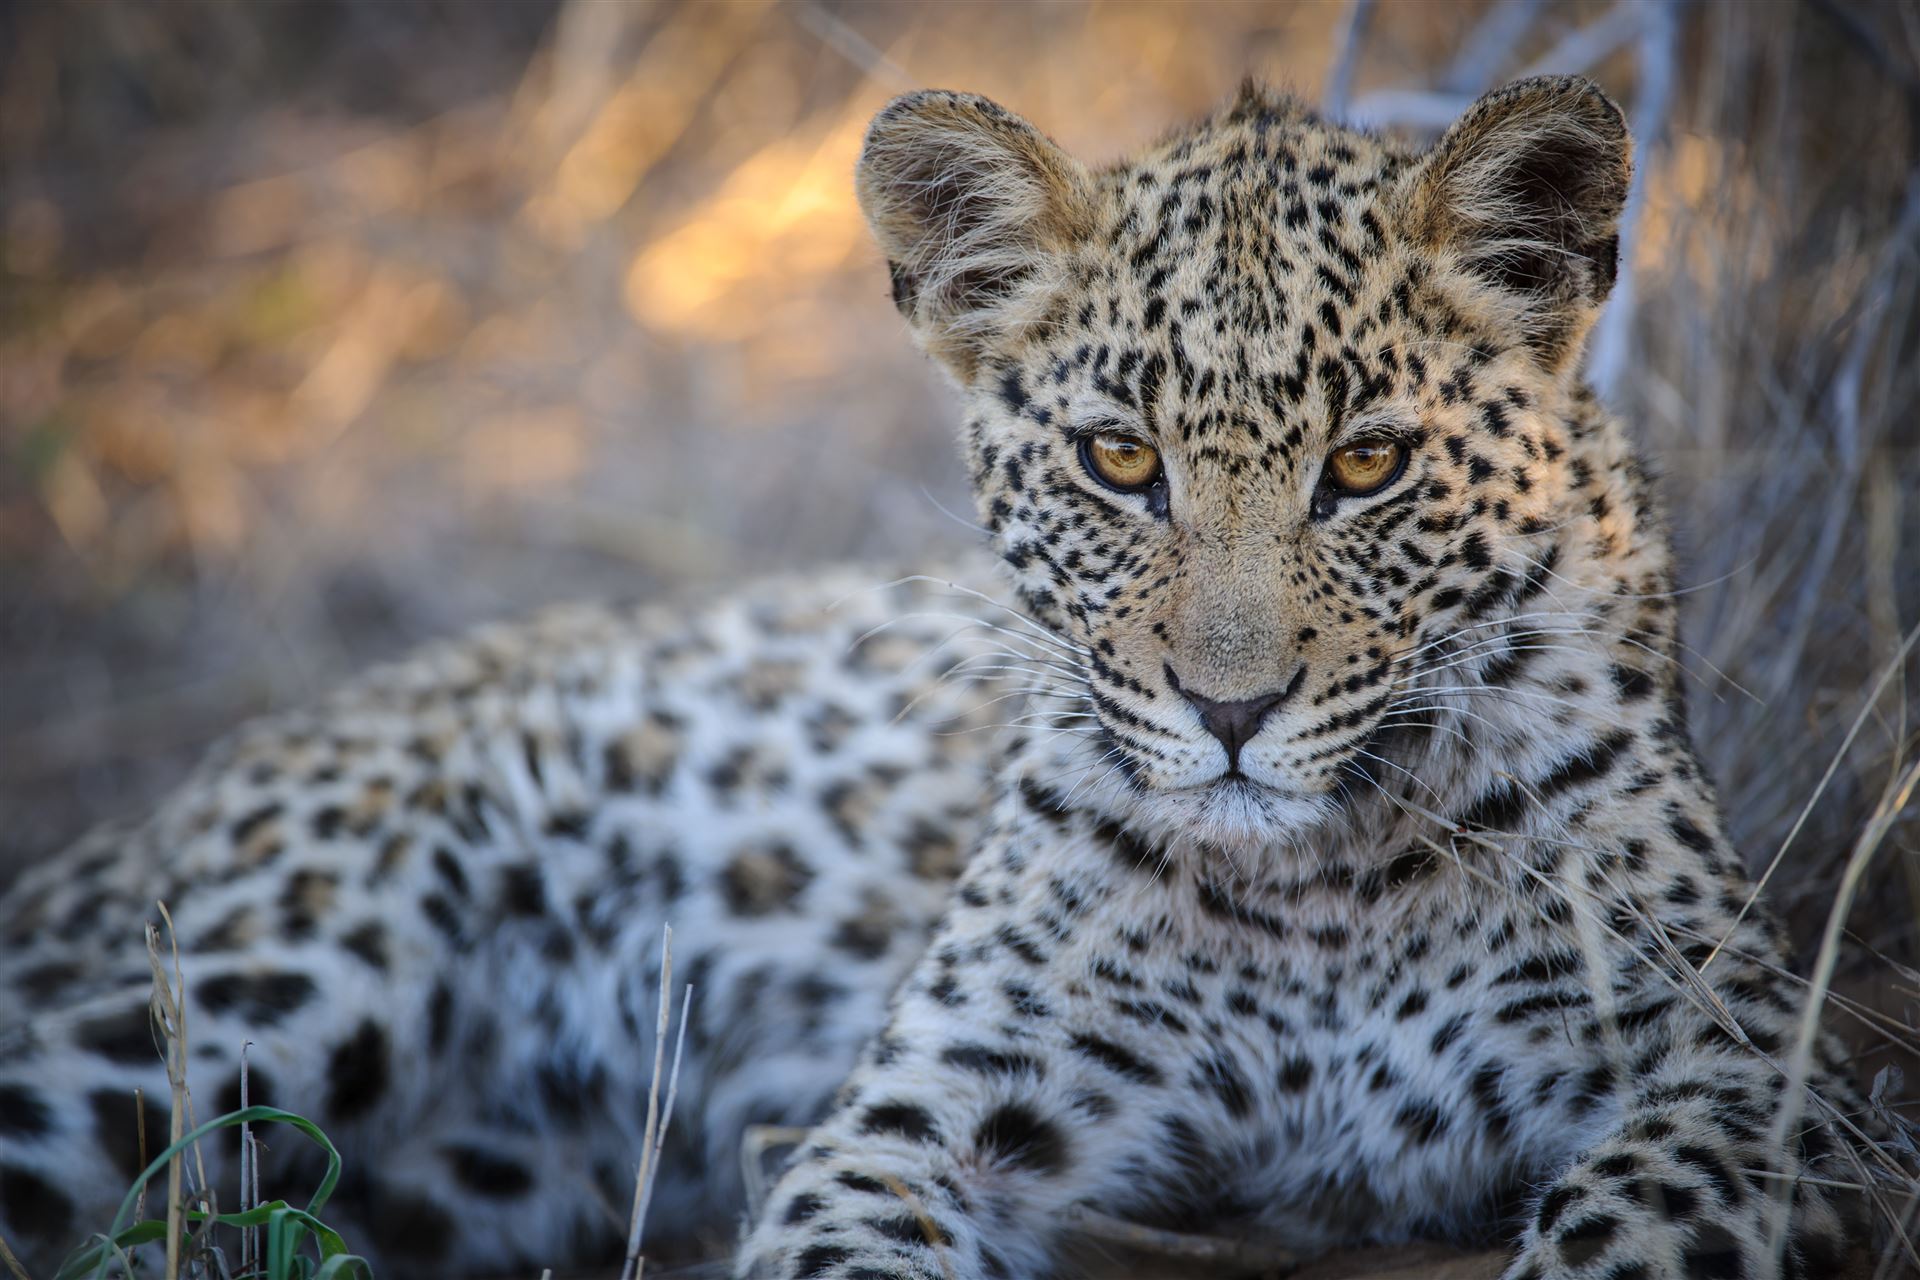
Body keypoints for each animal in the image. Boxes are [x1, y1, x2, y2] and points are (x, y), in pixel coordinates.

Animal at [0, 75, 1876, 1280]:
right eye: (1119, 462)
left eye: (1367, 467)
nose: (1233, 715)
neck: (1322, 886)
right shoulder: (918, 1114)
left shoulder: (1755, 1089)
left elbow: (1635, 1231)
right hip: (250, 975)